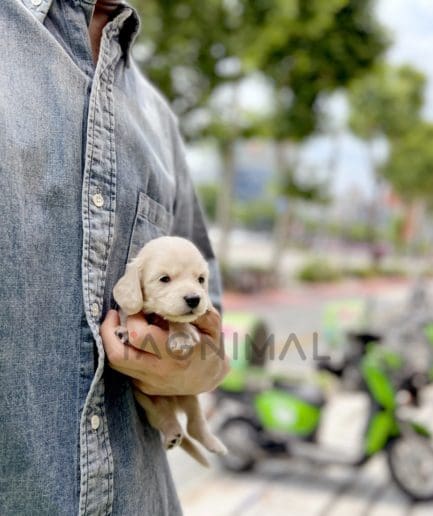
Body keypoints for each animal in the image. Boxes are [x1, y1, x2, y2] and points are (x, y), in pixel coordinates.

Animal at [111, 236, 226, 466]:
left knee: (196, 424)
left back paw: (213, 444)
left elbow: (177, 320)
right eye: (164, 279)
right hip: (149, 402)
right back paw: (172, 435)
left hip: (191, 394)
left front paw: (181, 336)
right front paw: (124, 331)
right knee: (166, 418)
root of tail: (174, 403)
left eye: (201, 279)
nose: (194, 299)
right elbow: (128, 314)